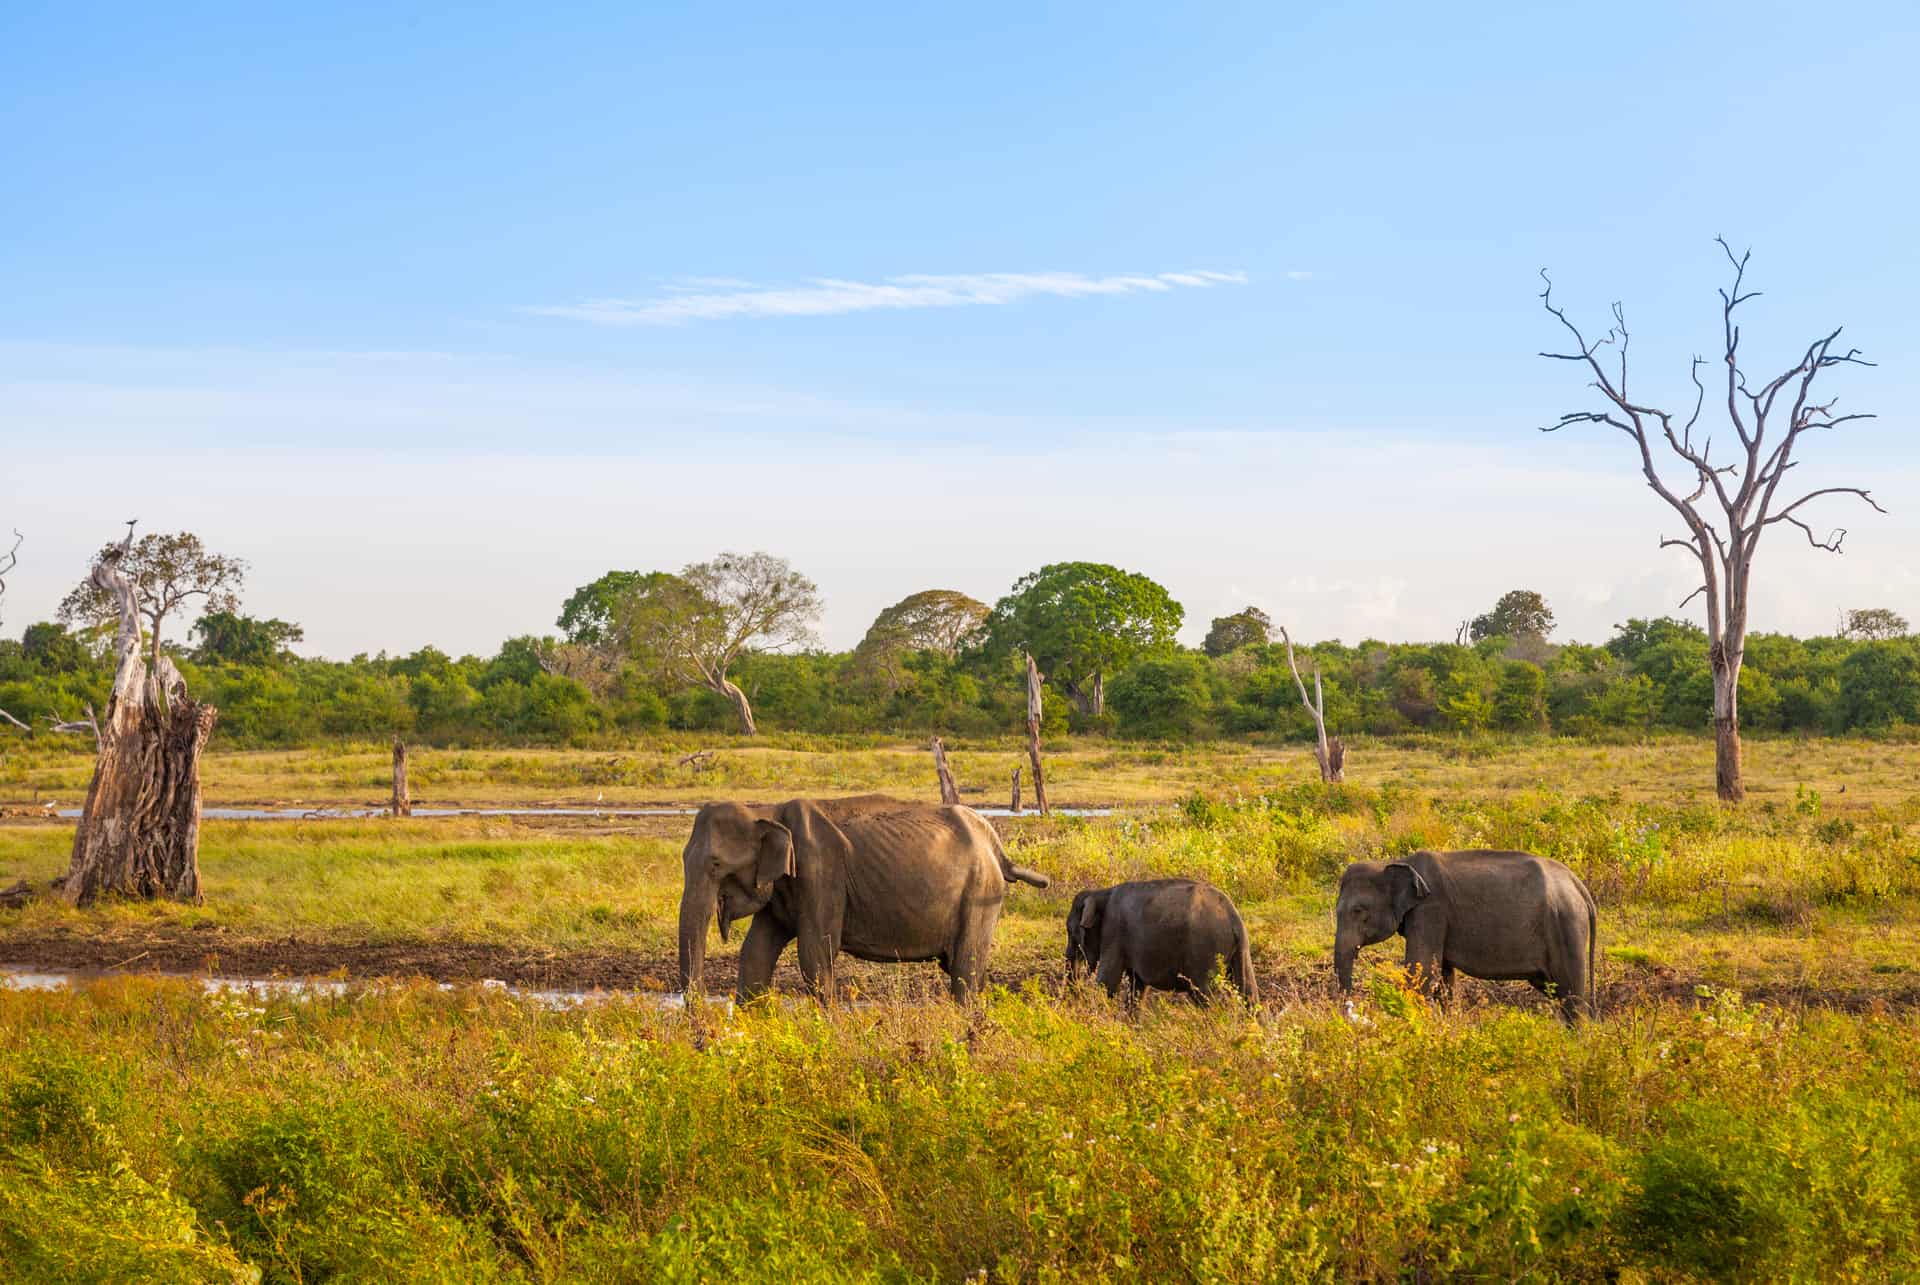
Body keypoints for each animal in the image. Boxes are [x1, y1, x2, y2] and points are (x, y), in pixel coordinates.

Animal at [675, 791, 1052, 998]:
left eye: (715, 864)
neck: (765, 811)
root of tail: (997, 846)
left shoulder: (821, 872)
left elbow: (815, 953)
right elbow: (755, 954)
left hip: (981, 891)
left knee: (966, 971)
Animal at [1067, 875, 1259, 1006]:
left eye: (1071, 932)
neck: (1102, 892)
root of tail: (1233, 916)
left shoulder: (1113, 931)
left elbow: (1108, 982)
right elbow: (1137, 986)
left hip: (1206, 950)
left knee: (1206, 995)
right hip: (1240, 948)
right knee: (1249, 992)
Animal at [1328, 845, 1597, 1014]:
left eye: (1358, 910)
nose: (1350, 1006)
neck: (1396, 862)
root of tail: (1579, 886)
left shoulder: (1430, 910)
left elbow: (1423, 972)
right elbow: (1443, 978)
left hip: (1567, 926)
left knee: (1572, 995)